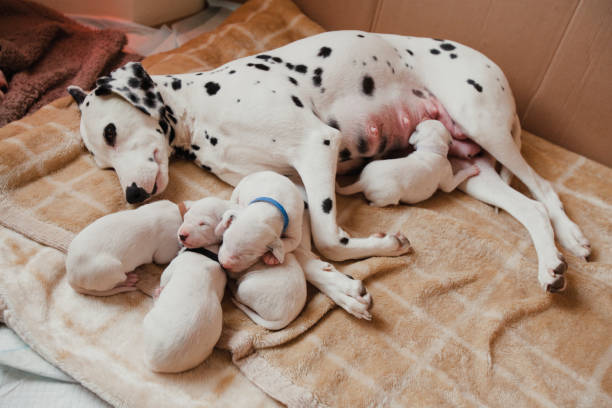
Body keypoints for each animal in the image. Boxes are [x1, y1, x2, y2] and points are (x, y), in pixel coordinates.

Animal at [338, 118, 480, 207]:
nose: (423, 117)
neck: (430, 149)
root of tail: (363, 182)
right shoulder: (448, 180)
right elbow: (456, 179)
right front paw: (472, 169)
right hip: (390, 195)